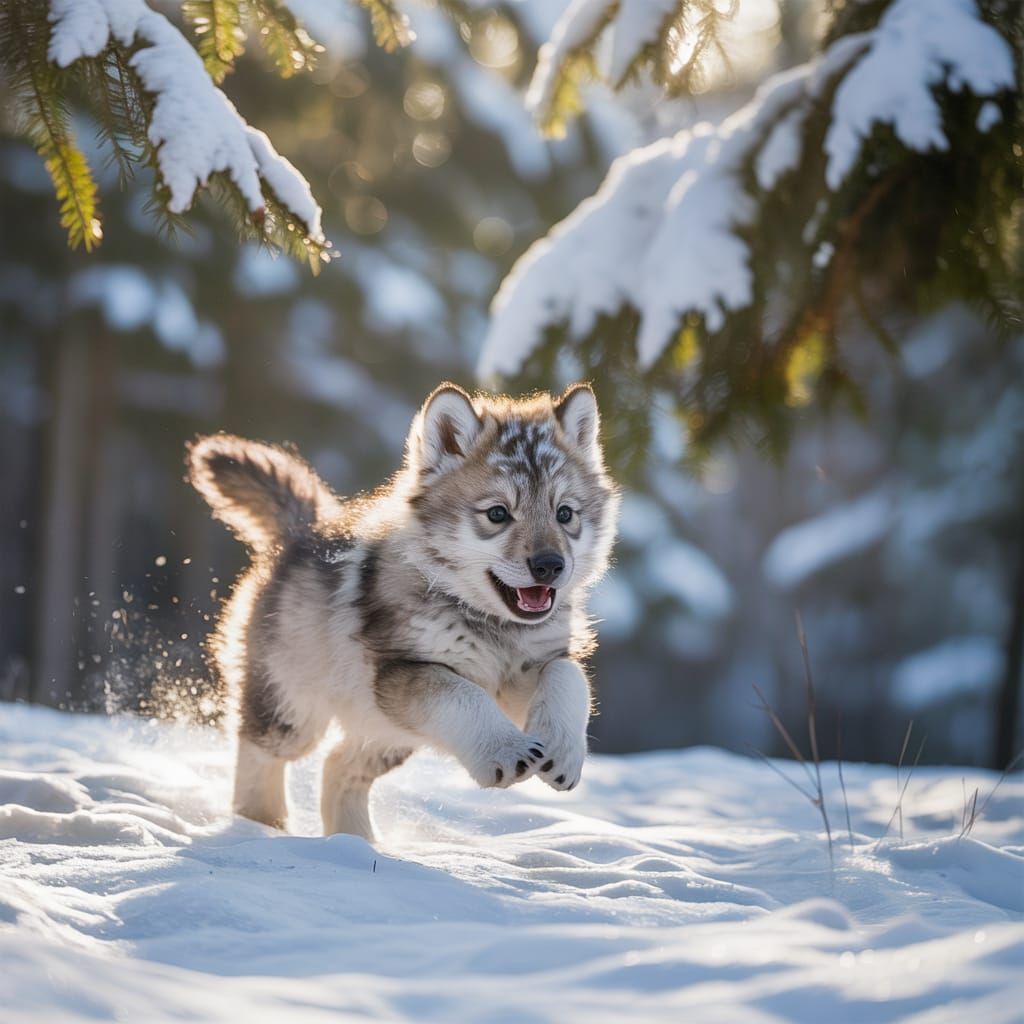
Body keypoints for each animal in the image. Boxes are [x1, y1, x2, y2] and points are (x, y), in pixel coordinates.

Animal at [187, 383, 619, 841]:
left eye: (565, 513)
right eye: (498, 514)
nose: (550, 566)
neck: (494, 626)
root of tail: (302, 532)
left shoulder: (530, 668)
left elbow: (569, 677)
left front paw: (562, 749)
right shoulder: (407, 672)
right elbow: (462, 694)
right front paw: (507, 751)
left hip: (387, 732)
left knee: (339, 766)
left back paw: (356, 845)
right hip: (294, 706)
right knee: (261, 752)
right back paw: (260, 828)